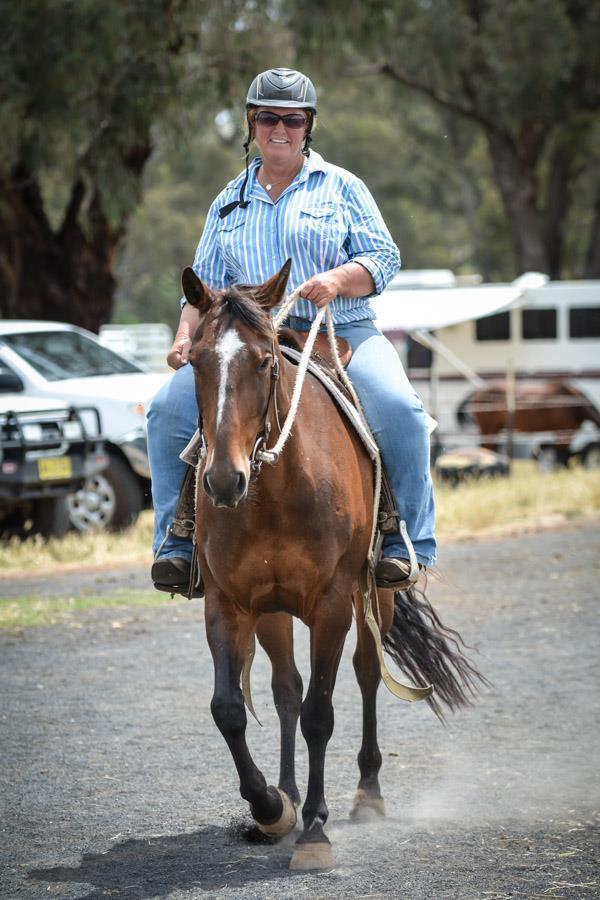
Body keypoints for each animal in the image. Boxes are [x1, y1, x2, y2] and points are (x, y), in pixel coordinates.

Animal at [181, 261, 483, 870]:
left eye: (264, 361)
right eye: (195, 360)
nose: (222, 480)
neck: (276, 488)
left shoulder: (332, 603)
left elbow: (321, 711)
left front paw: (315, 833)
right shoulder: (229, 602)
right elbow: (231, 708)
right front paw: (271, 807)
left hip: (376, 596)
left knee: (365, 675)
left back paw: (366, 794)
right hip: (273, 611)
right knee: (285, 689)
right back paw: (288, 795)